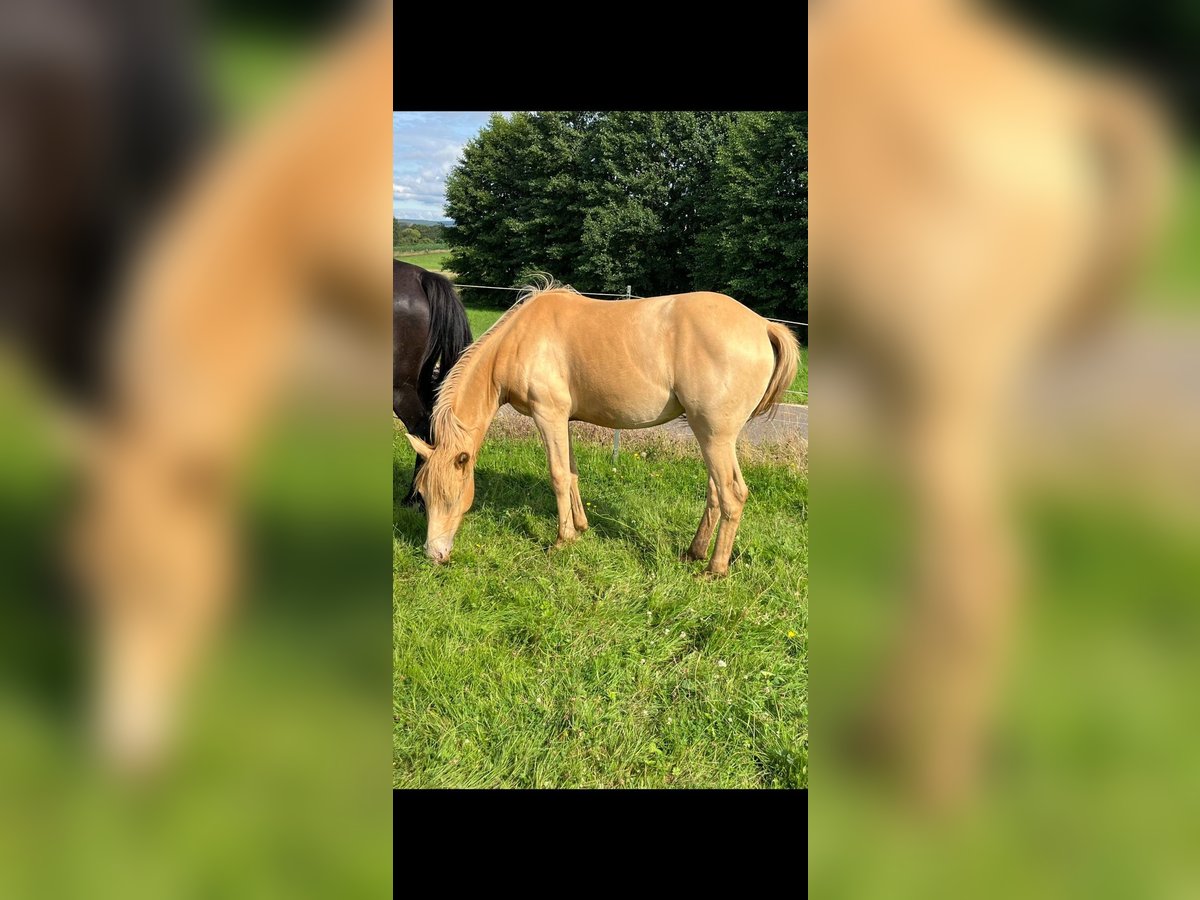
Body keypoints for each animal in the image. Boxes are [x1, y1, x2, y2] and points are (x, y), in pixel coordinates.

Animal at [408, 283, 801, 578]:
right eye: (423, 495)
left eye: (450, 497)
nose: (435, 555)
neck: (520, 339)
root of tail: (763, 326)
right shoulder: (564, 420)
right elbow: (571, 473)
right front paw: (581, 528)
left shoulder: (548, 415)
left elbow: (557, 475)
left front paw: (562, 539)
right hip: (712, 437)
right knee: (715, 493)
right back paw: (694, 552)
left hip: (715, 436)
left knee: (732, 494)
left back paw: (715, 569)